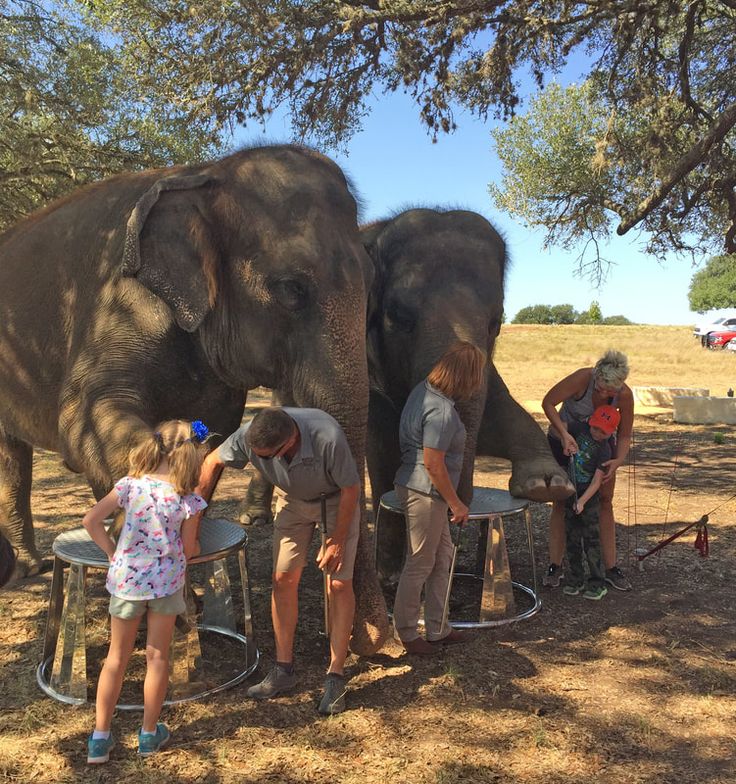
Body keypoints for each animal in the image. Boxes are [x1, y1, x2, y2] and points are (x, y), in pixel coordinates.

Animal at [0, 144, 388, 654]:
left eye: (372, 281)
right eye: (290, 289)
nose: (379, 642)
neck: (203, 176)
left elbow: (210, 442)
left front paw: (187, 592)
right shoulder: (116, 302)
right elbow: (86, 417)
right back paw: (28, 570)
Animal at [242, 208, 572, 576]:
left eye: (497, 322)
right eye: (398, 316)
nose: (457, 510)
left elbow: (499, 411)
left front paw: (548, 484)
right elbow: (382, 446)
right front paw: (389, 570)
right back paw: (254, 517)